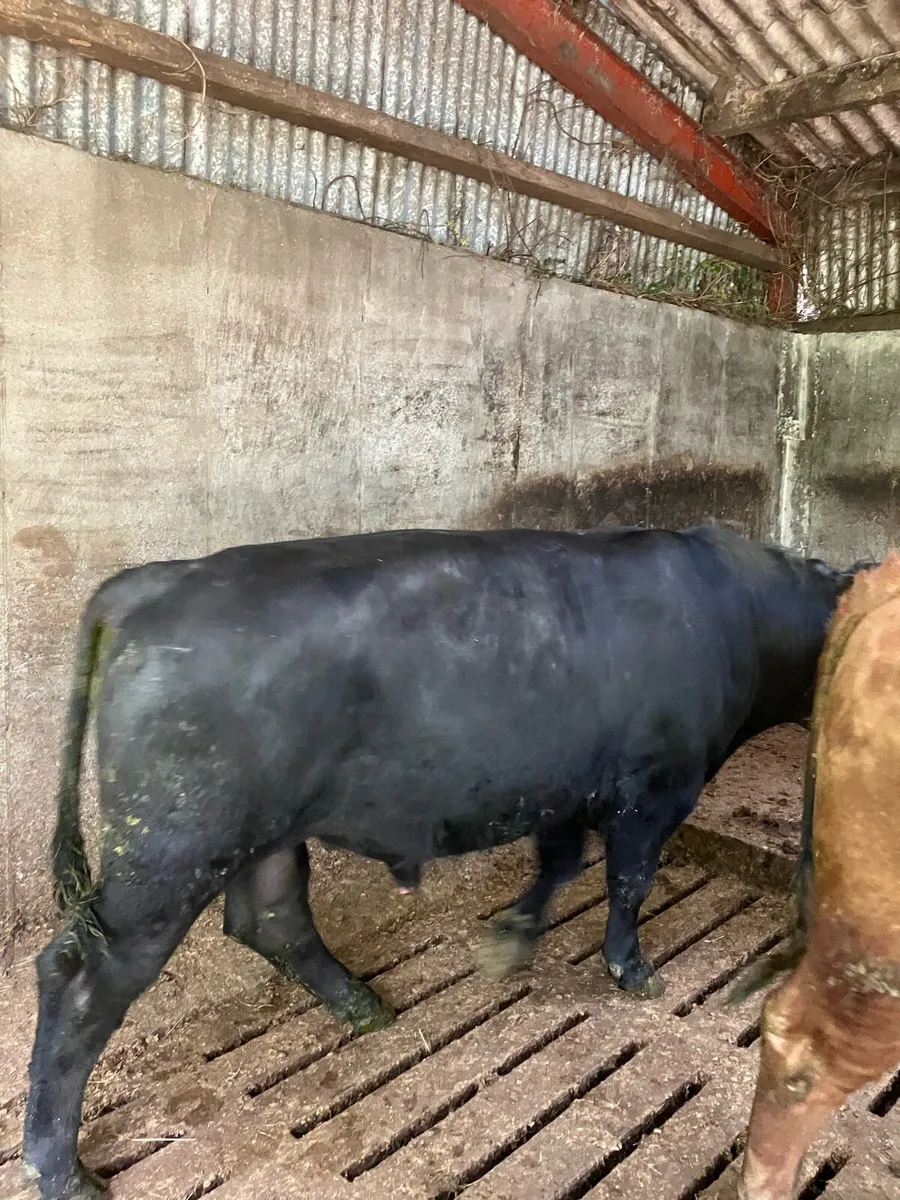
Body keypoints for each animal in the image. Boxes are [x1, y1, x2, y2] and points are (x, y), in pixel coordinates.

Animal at [21, 524, 867, 1200]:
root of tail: (146, 583)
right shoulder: (655, 784)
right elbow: (628, 880)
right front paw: (638, 975)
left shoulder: (563, 789)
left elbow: (559, 865)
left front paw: (508, 942)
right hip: (168, 843)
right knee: (77, 972)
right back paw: (64, 1174)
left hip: (264, 830)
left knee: (269, 913)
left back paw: (366, 1008)